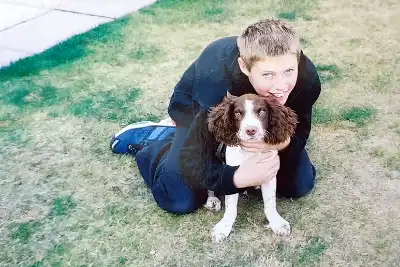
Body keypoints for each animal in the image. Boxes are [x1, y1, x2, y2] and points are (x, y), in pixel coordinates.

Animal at [206, 93, 296, 244]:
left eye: (262, 111)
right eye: (237, 113)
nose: (251, 130)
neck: (250, 152)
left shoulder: (269, 173)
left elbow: (270, 202)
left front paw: (277, 223)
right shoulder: (233, 176)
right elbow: (230, 207)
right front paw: (223, 227)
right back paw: (212, 200)